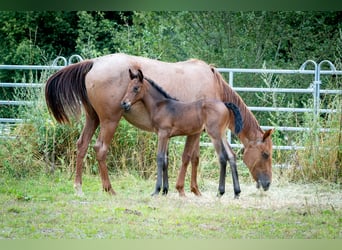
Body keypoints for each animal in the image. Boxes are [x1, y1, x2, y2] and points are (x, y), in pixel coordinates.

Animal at [44, 53, 272, 197]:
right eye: (266, 154)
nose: (267, 183)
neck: (212, 81)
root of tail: (93, 63)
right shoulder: (196, 132)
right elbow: (189, 158)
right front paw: (184, 189)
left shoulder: (187, 131)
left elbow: (182, 158)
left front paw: (182, 189)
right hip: (110, 121)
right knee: (100, 149)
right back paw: (109, 189)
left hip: (93, 118)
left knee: (82, 145)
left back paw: (78, 187)